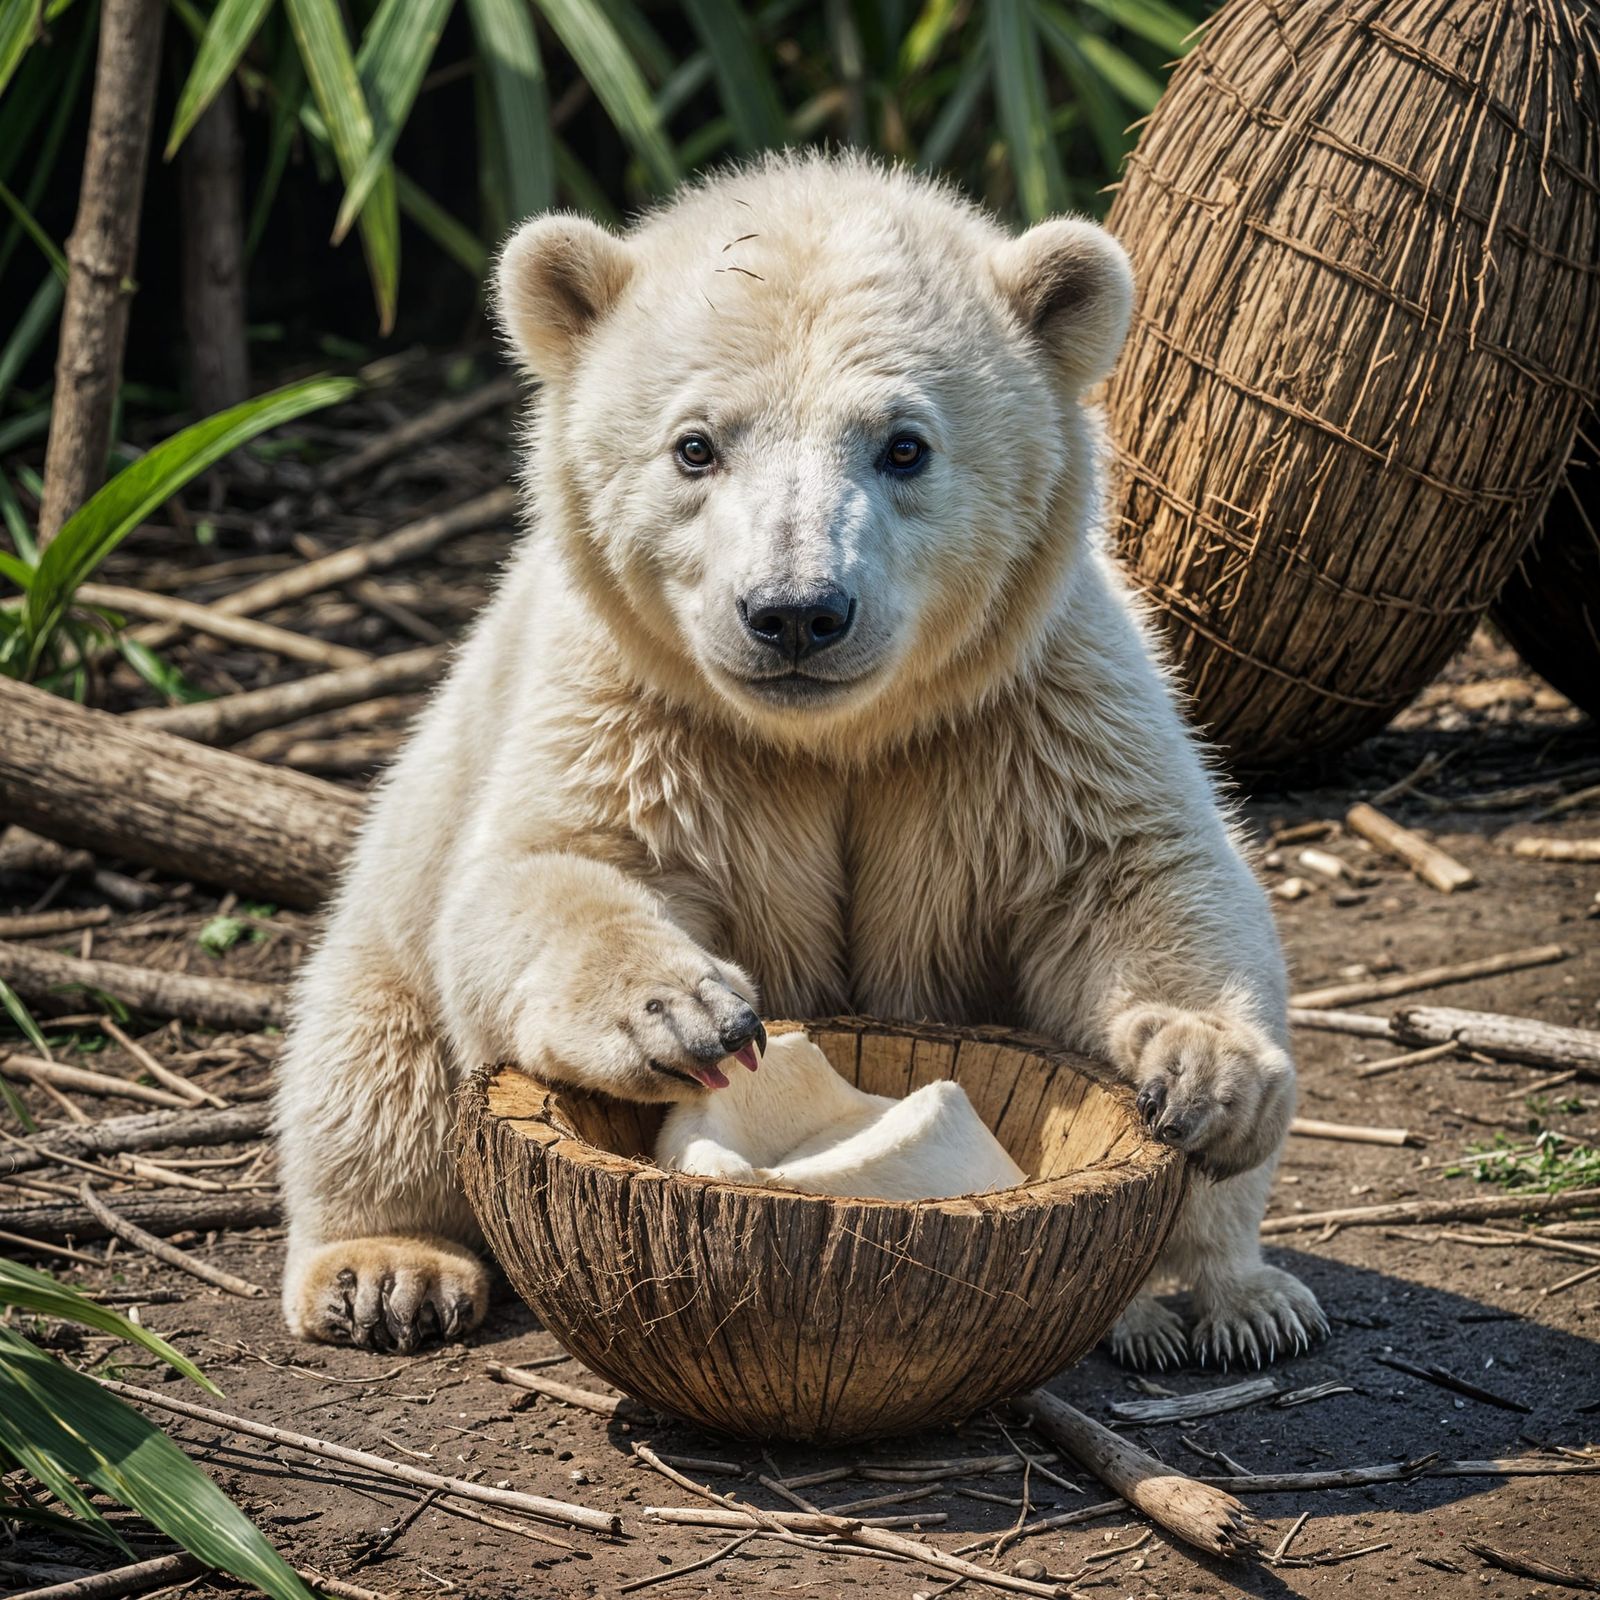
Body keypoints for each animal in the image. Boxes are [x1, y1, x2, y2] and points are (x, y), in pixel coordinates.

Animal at [274, 151, 1327, 1371]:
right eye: (695, 444)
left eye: (905, 443)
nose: (794, 613)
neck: (830, 737)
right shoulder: (642, 707)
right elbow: (542, 871)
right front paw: (680, 1010)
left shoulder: (1029, 704)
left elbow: (1133, 874)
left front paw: (1204, 1071)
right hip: (394, 887)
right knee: (371, 1053)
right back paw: (385, 1267)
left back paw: (1219, 1296)